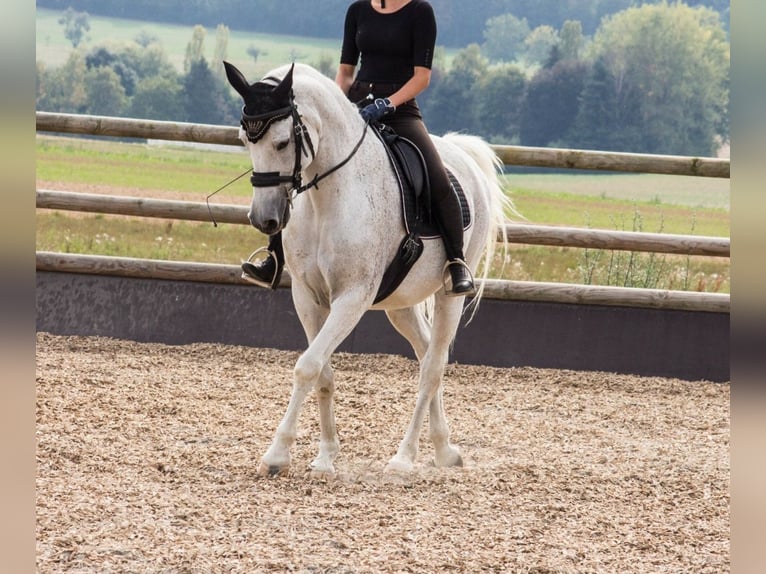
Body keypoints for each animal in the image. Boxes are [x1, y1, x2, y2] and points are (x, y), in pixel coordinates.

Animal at [224, 63, 516, 476]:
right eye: (245, 142)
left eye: (281, 143)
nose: (263, 219)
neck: (329, 195)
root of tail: (463, 153)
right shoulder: (307, 297)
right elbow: (323, 371)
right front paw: (325, 456)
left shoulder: (353, 298)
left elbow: (307, 366)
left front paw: (277, 454)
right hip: (400, 304)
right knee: (426, 354)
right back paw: (444, 448)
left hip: (450, 293)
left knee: (433, 367)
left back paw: (404, 458)